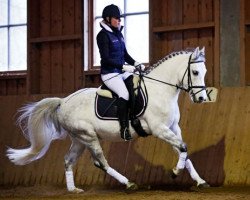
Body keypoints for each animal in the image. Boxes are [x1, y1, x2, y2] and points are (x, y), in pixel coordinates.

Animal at [6, 46, 209, 192]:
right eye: (195, 72)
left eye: (204, 71)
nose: (201, 98)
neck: (160, 90)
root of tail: (63, 102)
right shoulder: (159, 129)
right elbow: (183, 147)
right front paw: (175, 172)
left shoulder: (173, 128)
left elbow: (183, 150)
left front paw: (200, 181)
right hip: (88, 136)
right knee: (100, 162)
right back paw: (128, 183)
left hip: (79, 139)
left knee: (68, 160)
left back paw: (73, 190)